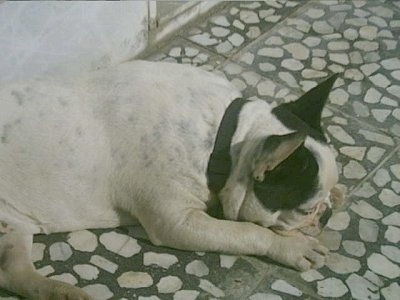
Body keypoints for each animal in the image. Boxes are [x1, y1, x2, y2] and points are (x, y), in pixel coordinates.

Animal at [0, 61, 344, 300]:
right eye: (305, 211)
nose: (326, 214)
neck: (226, 137)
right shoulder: (177, 221)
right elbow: (246, 232)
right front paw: (291, 246)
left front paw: (338, 193)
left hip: (11, 230)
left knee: (13, 272)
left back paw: (59, 292)